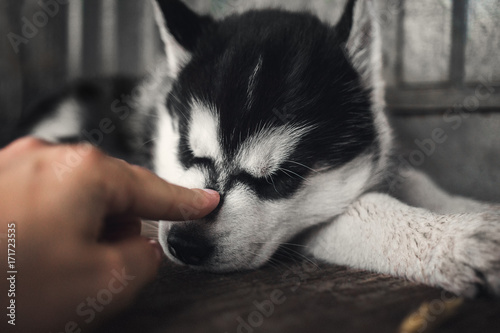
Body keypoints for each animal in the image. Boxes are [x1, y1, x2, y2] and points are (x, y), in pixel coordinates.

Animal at [20, 0, 500, 296]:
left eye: (279, 178)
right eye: (190, 154)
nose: (184, 244)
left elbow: (413, 180)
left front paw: (471, 212)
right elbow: (363, 209)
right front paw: (457, 241)